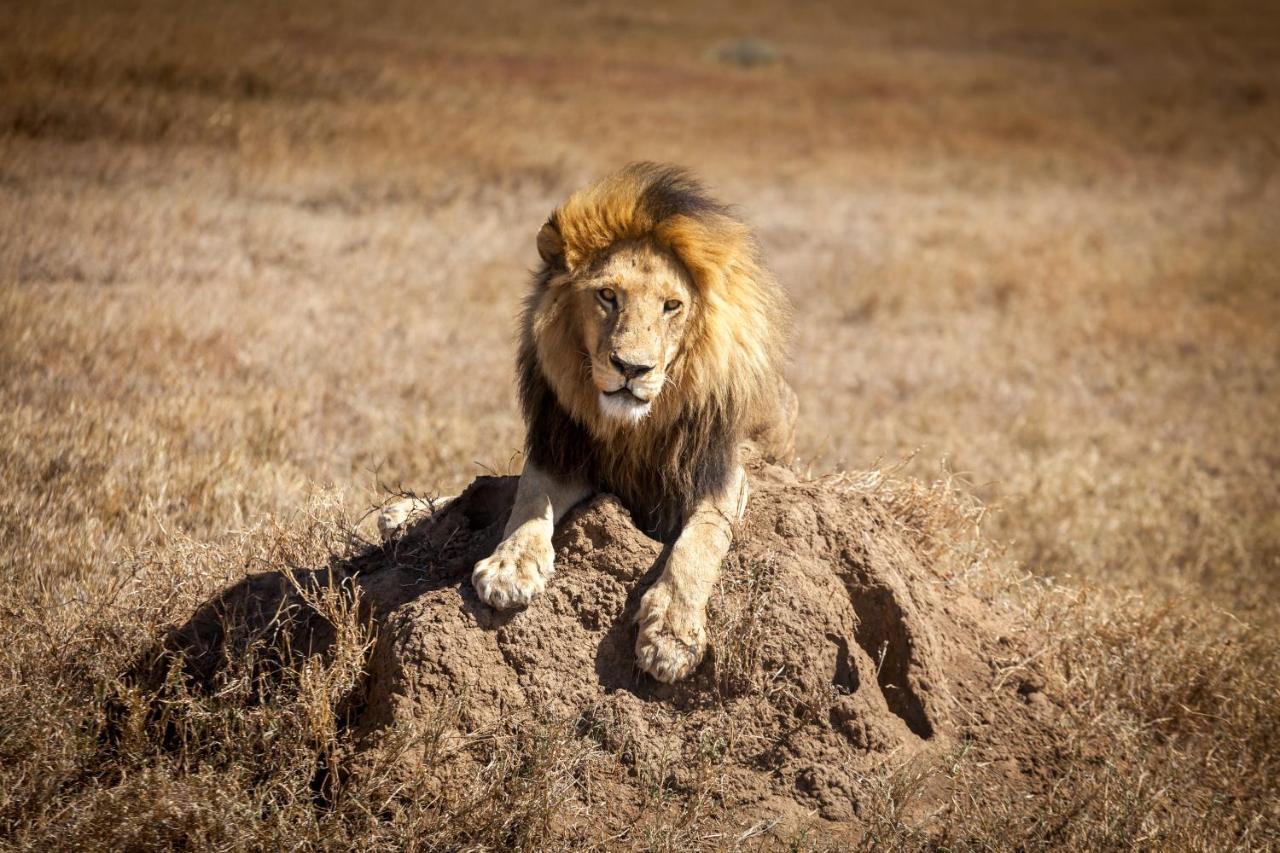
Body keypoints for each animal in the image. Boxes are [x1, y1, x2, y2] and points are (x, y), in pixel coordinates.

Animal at [384, 163, 793, 686]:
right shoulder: (560, 452)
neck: (633, 428)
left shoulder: (722, 476)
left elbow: (699, 543)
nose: (631, 368)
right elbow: (529, 499)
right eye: (607, 295)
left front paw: (671, 635)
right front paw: (509, 567)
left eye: (672, 306)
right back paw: (401, 511)